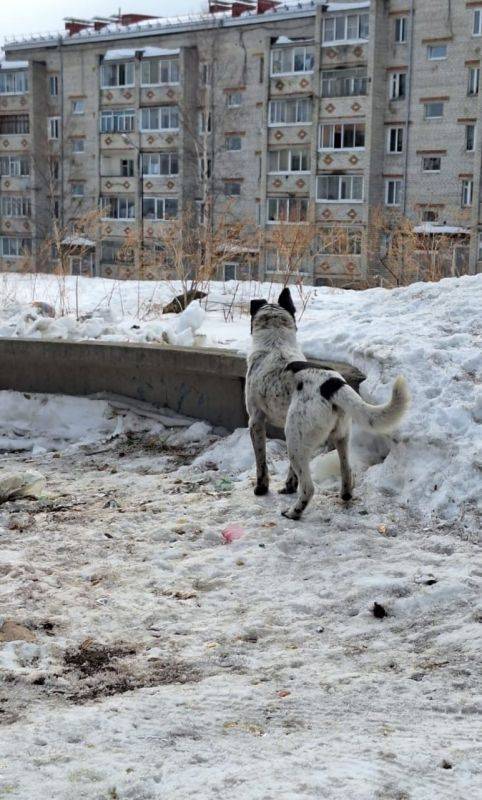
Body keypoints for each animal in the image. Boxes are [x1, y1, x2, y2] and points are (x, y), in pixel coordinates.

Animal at [245, 288, 410, 520]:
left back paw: (294, 512)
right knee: (347, 472)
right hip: (337, 436)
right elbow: (291, 472)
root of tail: (332, 384)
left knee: (309, 487)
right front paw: (288, 486)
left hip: (295, 439)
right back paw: (345, 495)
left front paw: (261, 489)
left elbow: (261, 463)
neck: (275, 344)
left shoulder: (256, 421)